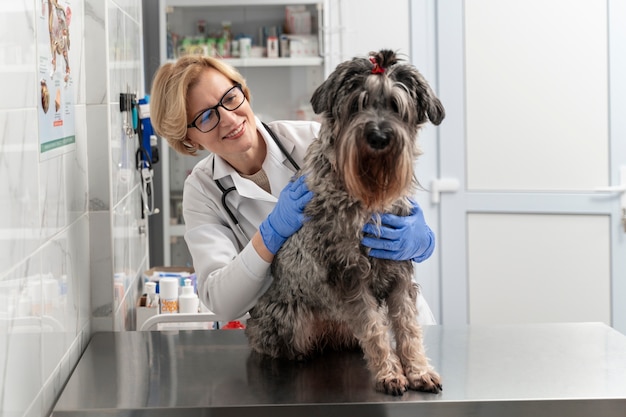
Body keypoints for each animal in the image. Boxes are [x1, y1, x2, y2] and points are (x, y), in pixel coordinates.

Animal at [244, 48, 444, 394]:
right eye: (356, 104)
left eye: (396, 106)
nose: (378, 136)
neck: (368, 193)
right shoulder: (348, 274)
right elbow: (374, 329)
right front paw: (390, 374)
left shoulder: (399, 269)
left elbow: (408, 328)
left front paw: (419, 371)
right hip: (290, 321)